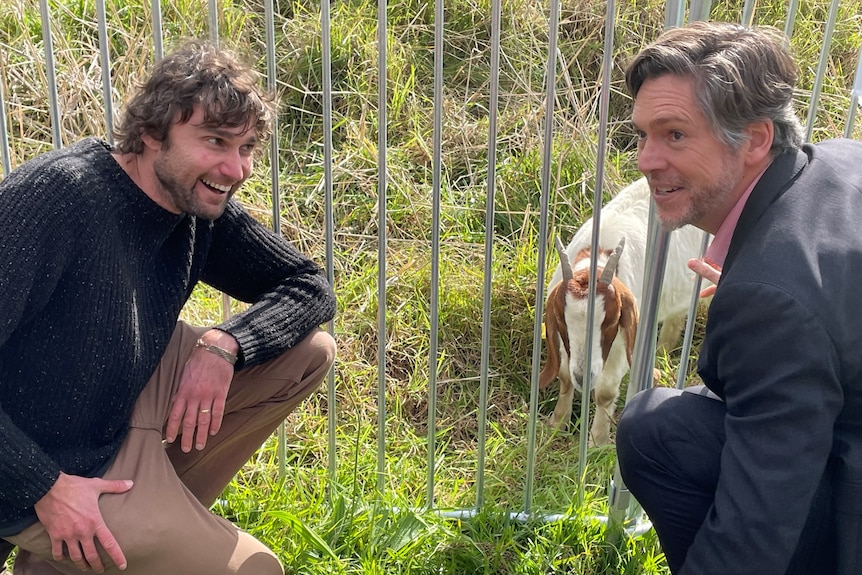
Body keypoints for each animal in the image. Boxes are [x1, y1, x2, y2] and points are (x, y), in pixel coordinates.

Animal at [544, 178, 704, 448]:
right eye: (562, 321)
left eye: (610, 322)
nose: (584, 377)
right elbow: (565, 377)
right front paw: (557, 424)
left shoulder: (621, 344)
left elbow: (605, 393)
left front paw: (598, 441)